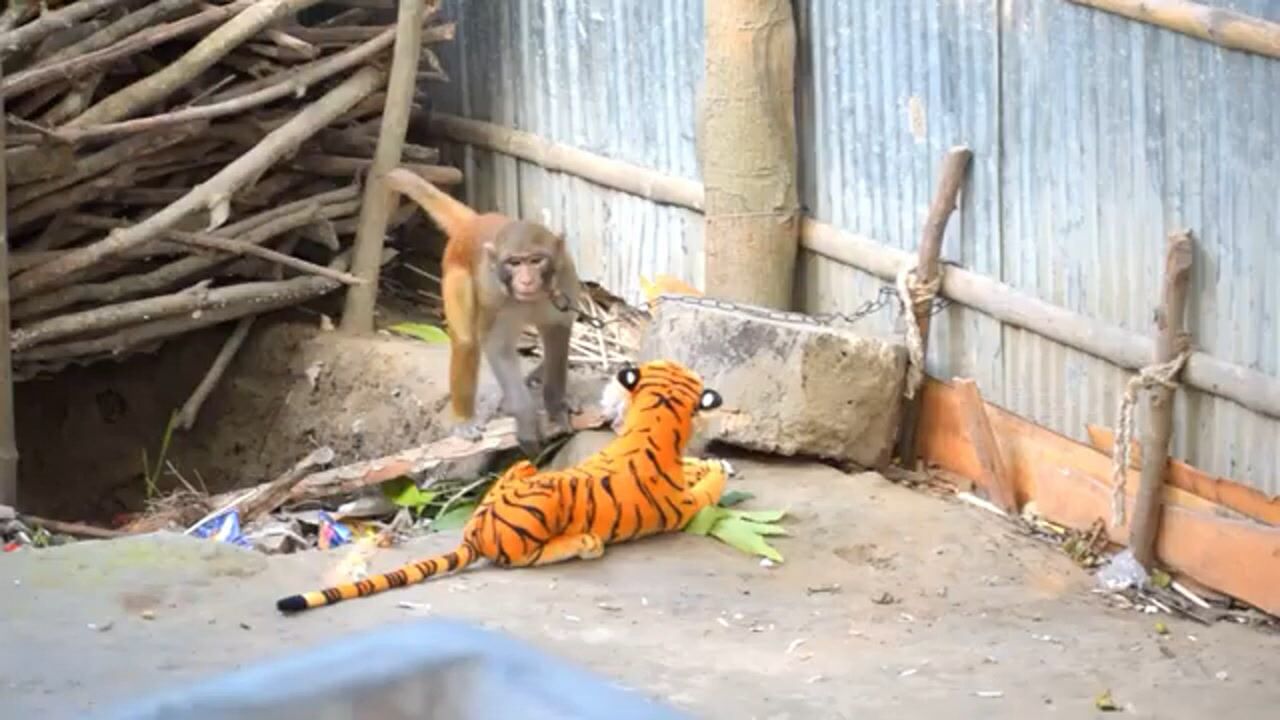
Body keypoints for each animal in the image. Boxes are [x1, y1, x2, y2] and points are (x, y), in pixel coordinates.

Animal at [275, 359, 732, 614]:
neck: (654, 423)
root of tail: (475, 533)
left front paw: (708, 461)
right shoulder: (682, 506)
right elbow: (707, 486)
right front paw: (717, 467)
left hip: (523, 469)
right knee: (528, 559)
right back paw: (584, 544)